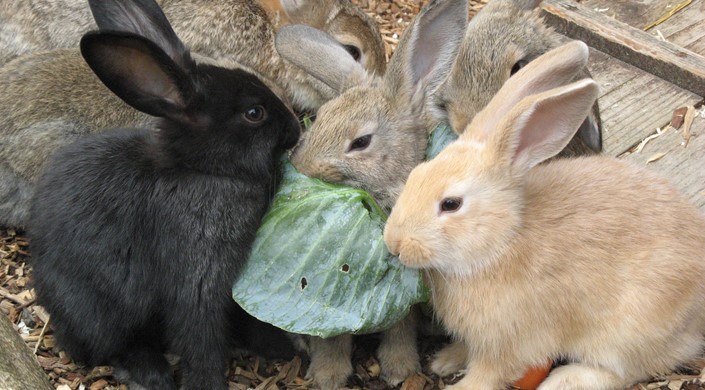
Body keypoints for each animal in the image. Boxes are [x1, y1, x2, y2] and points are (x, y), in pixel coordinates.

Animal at [28, 0, 300, 390]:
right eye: (254, 113)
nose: (295, 130)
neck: (200, 170)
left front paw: (278, 346)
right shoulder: (196, 281)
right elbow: (199, 338)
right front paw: (208, 382)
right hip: (99, 312)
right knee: (109, 346)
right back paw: (151, 373)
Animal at [382, 41, 704, 388]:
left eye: (451, 204)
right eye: (415, 174)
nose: (393, 243)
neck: (501, 243)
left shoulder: (509, 343)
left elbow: (488, 372)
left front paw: (462, 384)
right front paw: (445, 361)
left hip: (628, 333)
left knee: (623, 371)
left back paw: (562, 379)